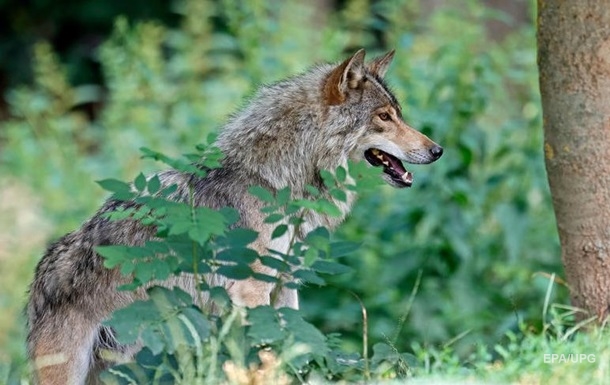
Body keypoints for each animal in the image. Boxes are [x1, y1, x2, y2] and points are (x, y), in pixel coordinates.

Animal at [26, 49, 440, 382]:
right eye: (384, 117)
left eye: (398, 115)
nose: (437, 150)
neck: (277, 179)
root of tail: (40, 275)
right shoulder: (250, 291)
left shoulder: (283, 285)